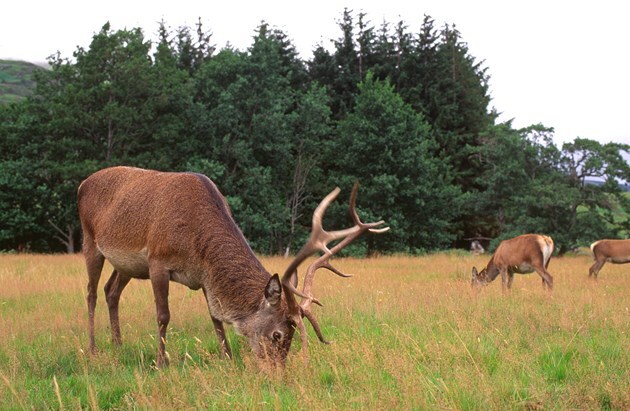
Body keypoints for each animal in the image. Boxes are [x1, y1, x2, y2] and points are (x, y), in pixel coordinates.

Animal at [76, 167, 388, 366]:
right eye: (277, 334)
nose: (276, 370)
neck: (195, 243)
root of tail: (82, 184)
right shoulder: (157, 262)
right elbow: (164, 315)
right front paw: (161, 361)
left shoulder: (204, 276)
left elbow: (215, 317)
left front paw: (227, 357)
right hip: (90, 240)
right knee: (91, 292)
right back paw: (92, 348)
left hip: (126, 265)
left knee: (111, 291)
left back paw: (118, 344)